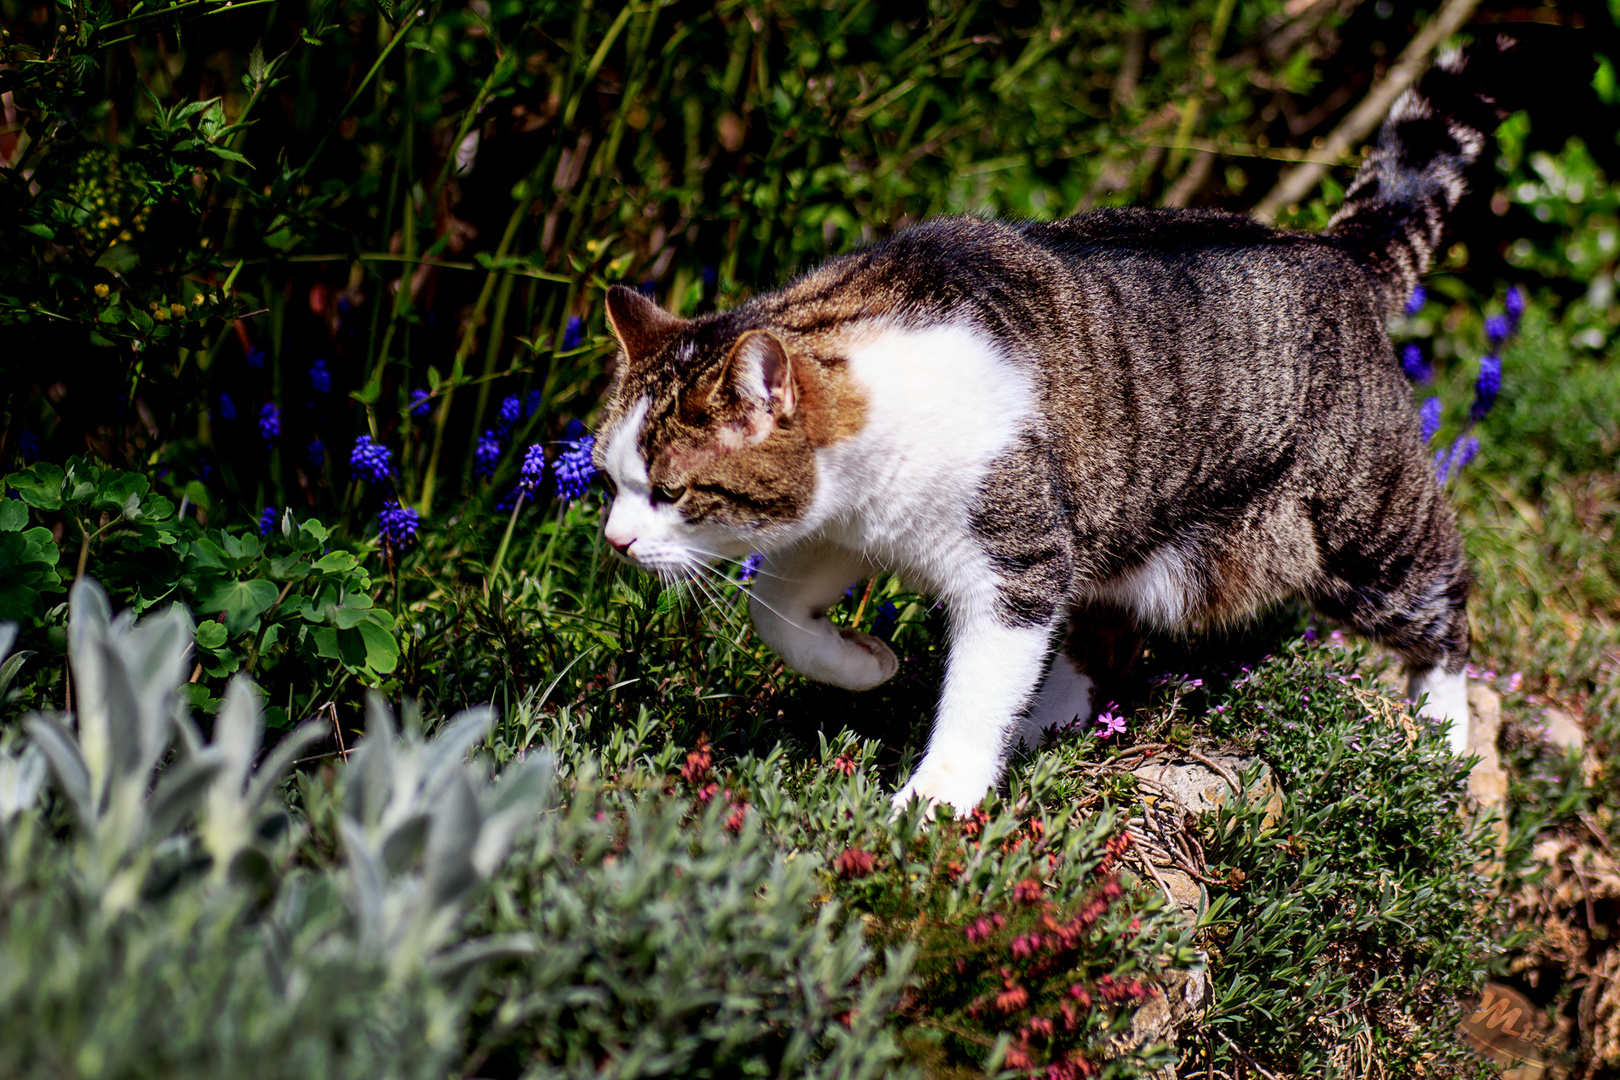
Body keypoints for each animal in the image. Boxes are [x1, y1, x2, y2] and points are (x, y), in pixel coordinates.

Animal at [592, 44, 1503, 809]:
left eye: (671, 491)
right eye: (609, 479)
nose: (615, 542)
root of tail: (1333, 250)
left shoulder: (1016, 564)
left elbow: (975, 690)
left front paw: (933, 803)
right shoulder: (847, 529)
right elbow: (775, 615)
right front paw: (866, 665)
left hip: (1366, 533)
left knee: (1446, 609)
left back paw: (1444, 742)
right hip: (1136, 534)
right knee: (1096, 640)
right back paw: (1042, 731)